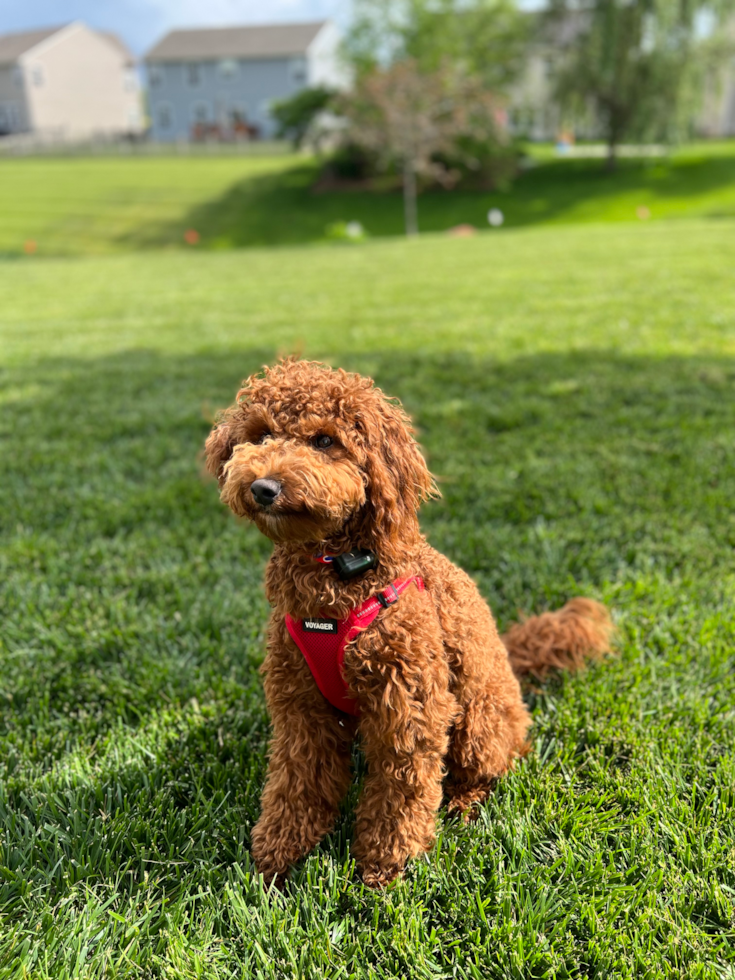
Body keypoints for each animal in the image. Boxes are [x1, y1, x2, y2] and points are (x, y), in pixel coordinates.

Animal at [204, 358, 612, 888]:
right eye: (260, 435)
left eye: (324, 440)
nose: (262, 488)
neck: (336, 580)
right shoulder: (300, 706)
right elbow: (297, 780)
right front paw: (278, 854)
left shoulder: (409, 704)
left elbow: (401, 791)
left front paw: (385, 865)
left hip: (477, 721)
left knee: (492, 767)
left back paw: (465, 803)